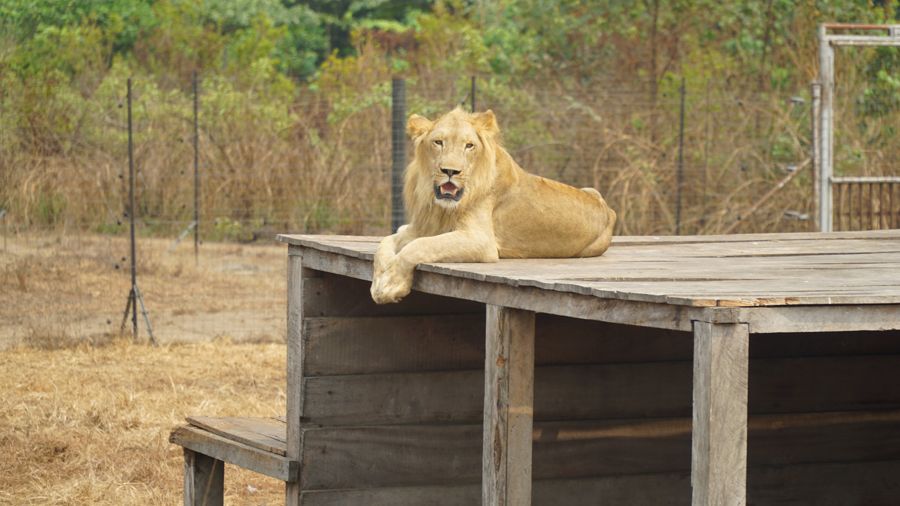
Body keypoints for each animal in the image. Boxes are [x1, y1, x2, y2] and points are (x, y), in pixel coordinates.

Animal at [370, 107, 616, 304]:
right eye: (438, 142)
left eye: (469, 146)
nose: (450, 171)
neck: (442, 208)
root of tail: (610, 211)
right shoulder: (423, 227)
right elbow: (384, 244)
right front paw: (379, 280)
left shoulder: (481, 240)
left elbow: (421, 246)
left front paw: (390, 285)